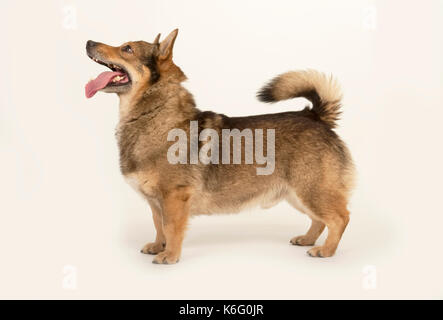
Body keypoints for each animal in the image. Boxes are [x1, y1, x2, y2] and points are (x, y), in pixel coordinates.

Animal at [86, 28, 358, 264]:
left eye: (127, 48)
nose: (88, 42)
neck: (154, 113)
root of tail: (315, 116)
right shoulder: (156, 202)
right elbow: (158, 225)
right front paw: (158, 245)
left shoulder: (175, 197)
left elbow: (171, 228)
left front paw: (170, 256)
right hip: (298, 194)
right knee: (320, 221)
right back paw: (308, 240)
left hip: (311, 190)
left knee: (340, 218)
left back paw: (326, 250)